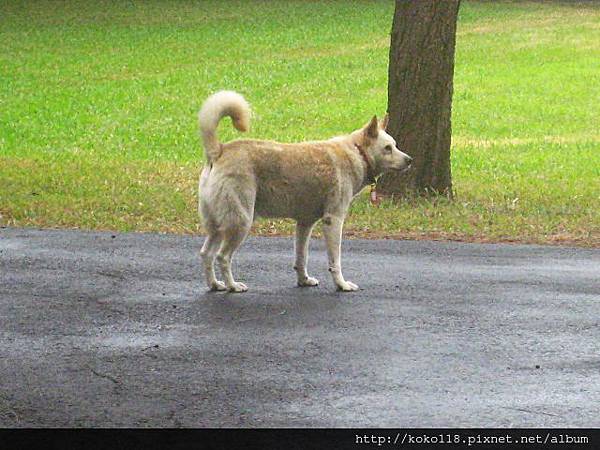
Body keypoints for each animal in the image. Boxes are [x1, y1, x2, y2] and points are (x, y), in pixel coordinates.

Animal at [197, 91, 412, 294]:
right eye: (387, 148)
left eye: (395, 145)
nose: (410, 160)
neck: (357, 152)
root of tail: (219, 150)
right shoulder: (333, 220)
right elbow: (335, 261)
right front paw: (341, 285)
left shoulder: (304, 223)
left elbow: (301, 257)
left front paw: (303, 281)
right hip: (241, 222)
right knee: (222, 257)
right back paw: (232, 286)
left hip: (217, 225)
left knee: (206, 254)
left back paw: (215, 285)